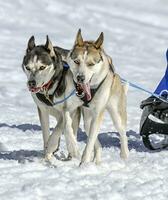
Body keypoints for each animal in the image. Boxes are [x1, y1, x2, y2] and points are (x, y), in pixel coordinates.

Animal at [66, 29, 129, 164]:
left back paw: (125, 155)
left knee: (122, 133)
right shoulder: (69, 107)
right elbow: (68, 125)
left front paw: (83, 164)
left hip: (116, 114)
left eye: (90, 64)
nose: (80, 78)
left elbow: (90, 143)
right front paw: (73, 147)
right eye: (77, 61)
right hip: (87, 119)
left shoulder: (98, 113)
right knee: (94, 137)